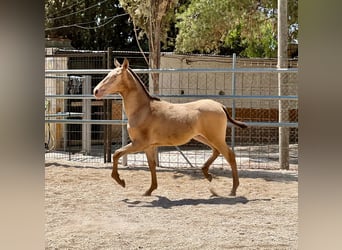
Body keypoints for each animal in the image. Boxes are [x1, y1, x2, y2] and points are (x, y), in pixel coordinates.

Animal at [94, 59, 246, 197]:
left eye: (114, 77)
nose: (96, 91)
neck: (143, 109)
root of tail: (220, 106)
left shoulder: (139, 143)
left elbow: (116, 154)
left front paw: (121, 181)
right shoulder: (148, 146)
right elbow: (152, 165)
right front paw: (149, 191)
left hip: (215, 137)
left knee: (230, 156)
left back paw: (233, 190)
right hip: (202, 137)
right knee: (216, 151)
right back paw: (207, 174)